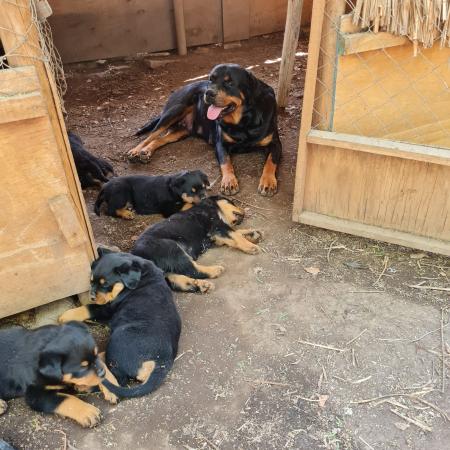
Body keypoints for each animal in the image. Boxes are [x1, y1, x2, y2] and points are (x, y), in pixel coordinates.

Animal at [58, 251, 181, 400]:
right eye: (91, 281)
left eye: (105, 284)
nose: (92, 296)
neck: (142, 276)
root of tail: (161, 362)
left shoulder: (107, 310)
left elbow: (88, 308)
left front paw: (65, 315)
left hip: (118, 339)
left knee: (118, 380)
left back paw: (95, 388)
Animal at [126, 63, 282, 197]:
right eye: (211, 80)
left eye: (229, 83)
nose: (208, 93)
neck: (243, 121)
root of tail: (185, 86)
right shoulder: (221, 144)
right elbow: (226, 162)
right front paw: (229, 181)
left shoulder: (275, 144)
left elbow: (271, 162)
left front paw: (268, 182)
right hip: (174, 110)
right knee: (152, 135)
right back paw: (136, 151)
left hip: (182, 131)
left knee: (161, 138)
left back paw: (146, 151)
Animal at [130, 195, 264, 294]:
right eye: (232, 202)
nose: (244, 212)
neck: (211, 207)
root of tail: (135, 254)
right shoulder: (217, 227)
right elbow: (235, 235)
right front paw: (251, 246)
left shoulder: (217, 236)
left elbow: (237, 233)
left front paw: (252, 234)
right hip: (171, 247)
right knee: (191, 269)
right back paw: (214, 270)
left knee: (175, 280)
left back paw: (202, 286)